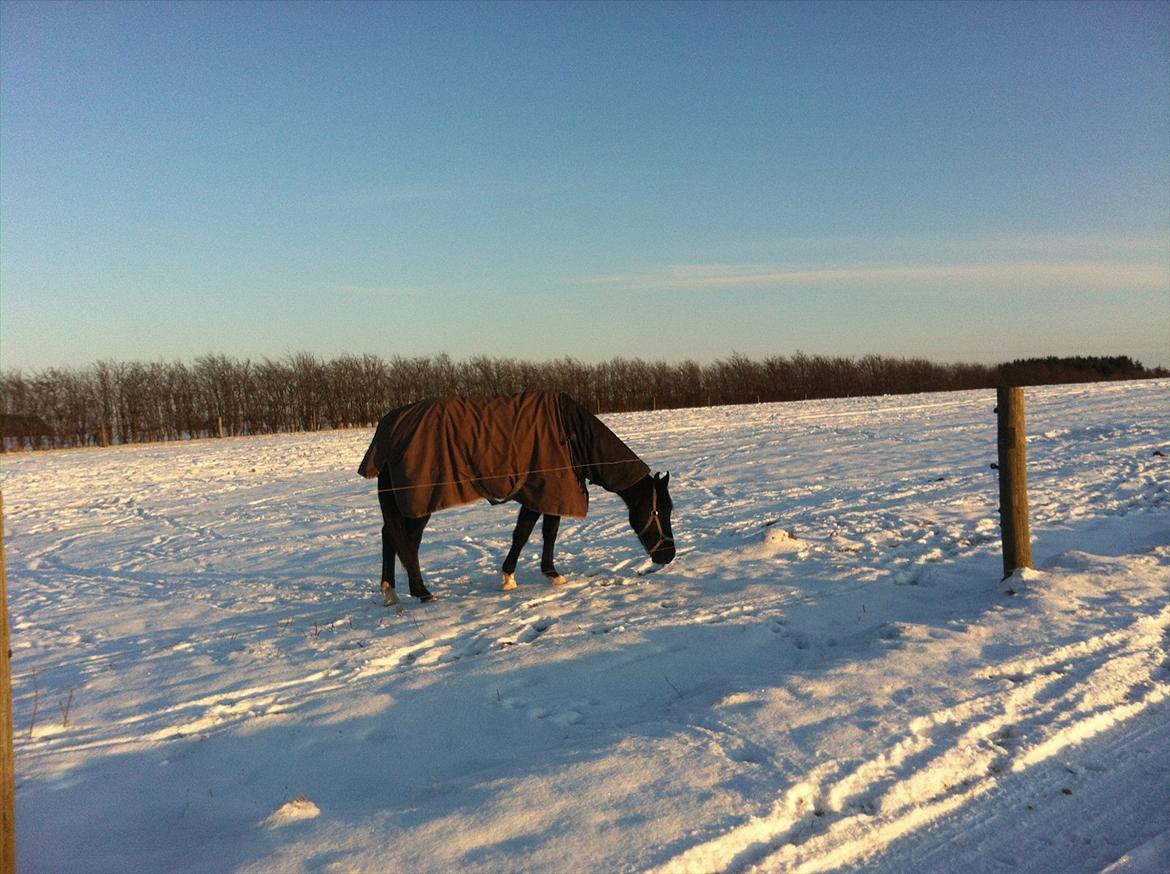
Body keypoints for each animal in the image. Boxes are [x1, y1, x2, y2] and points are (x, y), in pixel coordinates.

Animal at [353, 393, 678, 603]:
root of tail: (388, 432)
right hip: (419, 503)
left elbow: (544, 532)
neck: (573, 436)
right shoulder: (541, 491)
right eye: (659, 511)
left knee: (392, 536)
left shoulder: (550, 492)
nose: (668, 556)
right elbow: (527, 534)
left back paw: (391, 592)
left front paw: (544, 573)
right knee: (405, 541)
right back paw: (421, 591)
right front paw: (516, 576)